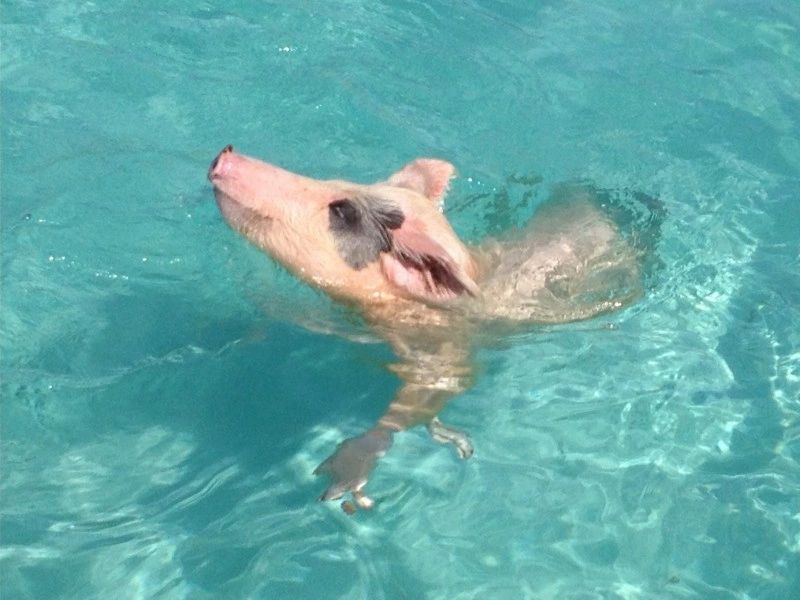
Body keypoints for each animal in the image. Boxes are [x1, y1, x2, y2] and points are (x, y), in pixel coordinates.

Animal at [206, 145, 648, 510]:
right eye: (333, 185)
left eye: (342, 212)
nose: (224, 154)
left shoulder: (450, 350)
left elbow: (435, 393)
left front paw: (340, 489)